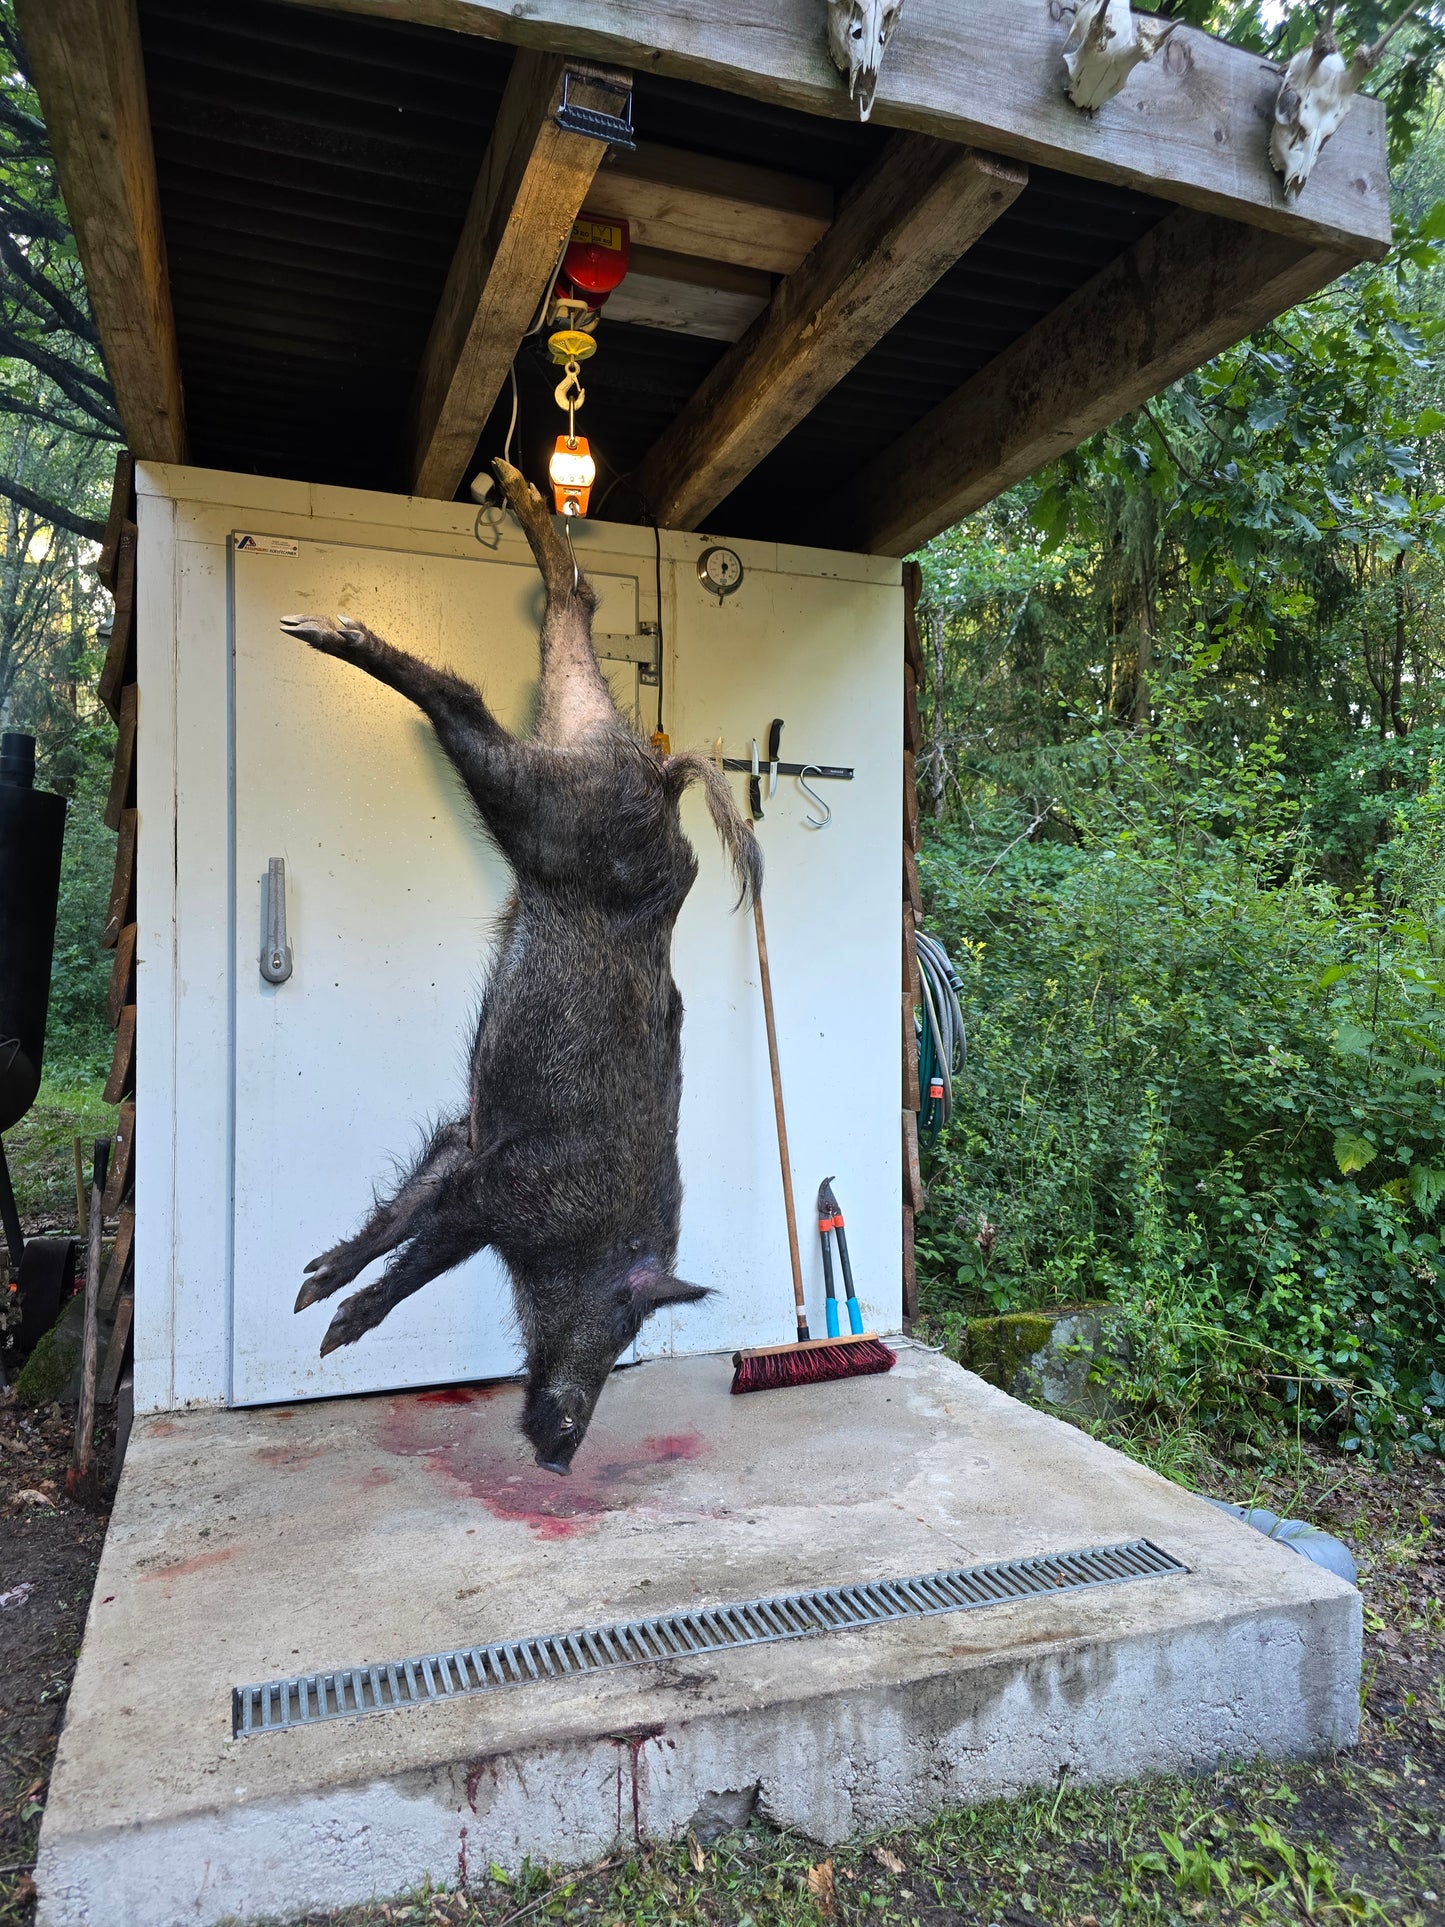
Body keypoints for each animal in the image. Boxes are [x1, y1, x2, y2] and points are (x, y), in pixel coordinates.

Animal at [279, 460, 760, 1474]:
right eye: (622, 1322)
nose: (559, 1457)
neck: (585, 1237)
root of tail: (653, 772)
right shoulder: (504, 1188)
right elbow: (421, 1255)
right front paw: (328, 1322)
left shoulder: (466, 1144)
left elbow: (402, 1224)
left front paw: (310, 1292)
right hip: (547, 805)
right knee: (461, 698)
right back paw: (322, 628)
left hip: (570, 728)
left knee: (571, 608)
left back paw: (515, 493)